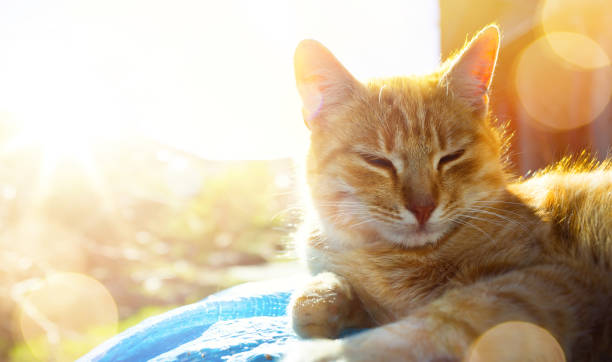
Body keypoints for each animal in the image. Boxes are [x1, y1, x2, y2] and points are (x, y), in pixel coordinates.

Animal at [286, 24, 612, 360]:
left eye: (451, 157)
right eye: (377, 161)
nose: (422, 207)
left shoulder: (547, 278)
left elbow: (441, 320)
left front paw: (338, 350)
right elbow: (316, 294)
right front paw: (322, 300)